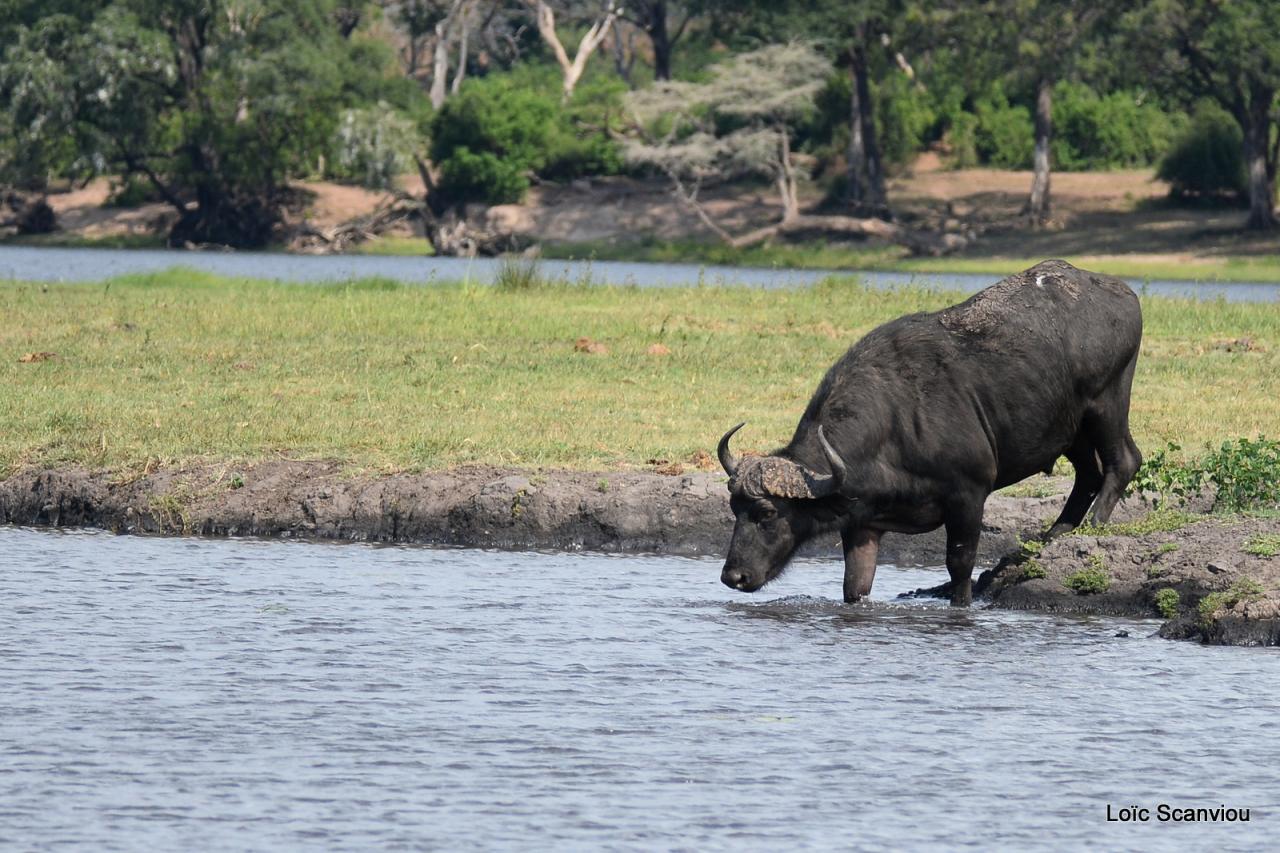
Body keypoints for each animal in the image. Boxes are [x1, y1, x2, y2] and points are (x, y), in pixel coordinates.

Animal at [716, 258, 1146, 604]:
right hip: (1069, 429)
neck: (894, 427)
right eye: (735, 509)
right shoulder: (863, 525)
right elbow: (855, 585)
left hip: (1107, 403)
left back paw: (1091, 525)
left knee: (1124, 460)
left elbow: (959, 566)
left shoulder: (969, 495)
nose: (733, 576)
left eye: (767, 512)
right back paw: (1055, 533)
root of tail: (1123, 292)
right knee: (1089, 473)